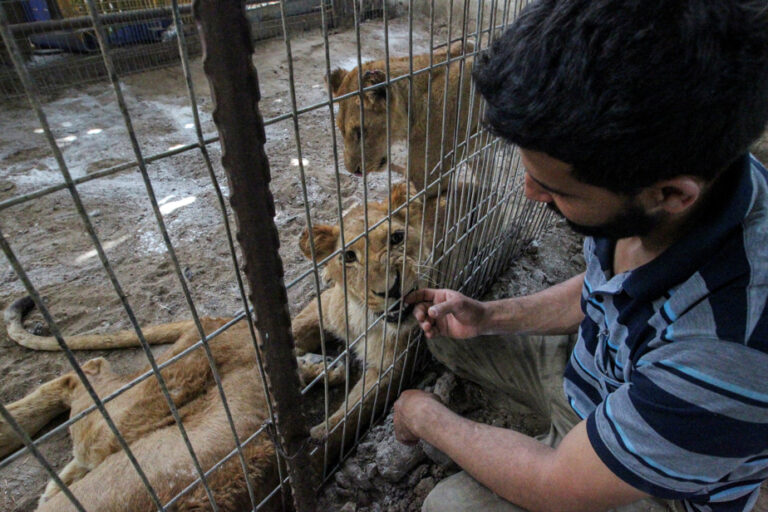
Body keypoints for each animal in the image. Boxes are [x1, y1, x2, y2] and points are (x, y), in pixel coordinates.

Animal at [0, 182, 440, 510]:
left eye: (397, 237)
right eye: (349, 257)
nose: (389, 290)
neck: (363, 316)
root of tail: (209, 325)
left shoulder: (389, 369)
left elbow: (342, 421)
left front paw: (304, 440)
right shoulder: (317, 310)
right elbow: (290, 335)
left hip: (113, 427)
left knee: (86, 383)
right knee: (84, 376)